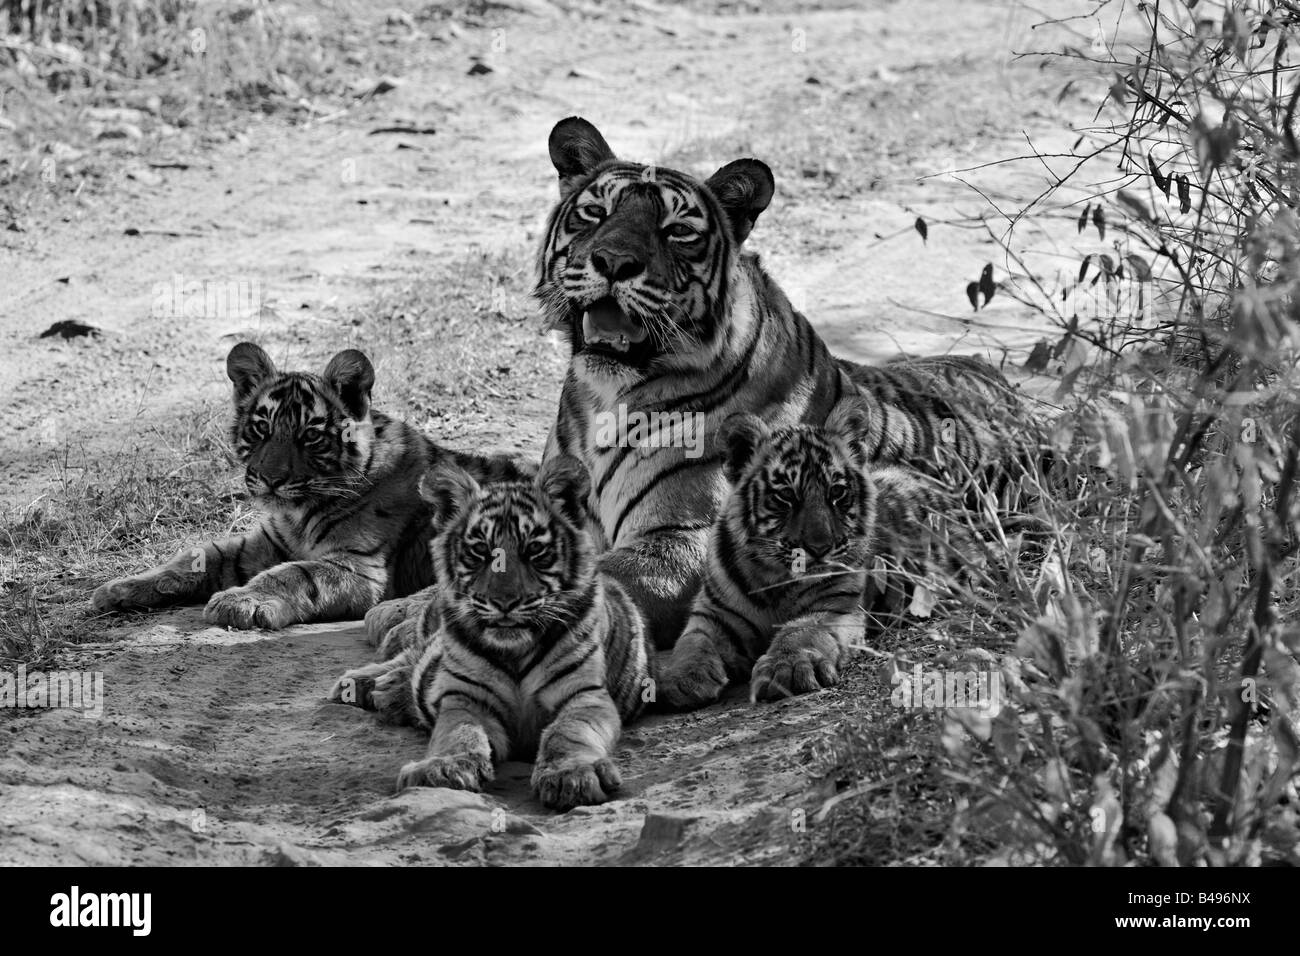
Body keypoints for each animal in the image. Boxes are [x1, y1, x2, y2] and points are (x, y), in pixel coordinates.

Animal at [90, 343, 527, 629]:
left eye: (310, 437)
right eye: (261, 428)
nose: (270, 479)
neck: (298, 512)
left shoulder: (358, 566)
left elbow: (293, 575)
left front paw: (238, 601)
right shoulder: (264, 543)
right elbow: (196, 557)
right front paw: (120, 588)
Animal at [330, 452, 655, 811]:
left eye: (535, 551)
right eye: (479, 551)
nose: (504, 602)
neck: (515, 651)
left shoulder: (584, 694)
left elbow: (569, 732)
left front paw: (572, 775)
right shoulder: (466, 698)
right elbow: (458, 733)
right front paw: (443, 768)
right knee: (412, 653)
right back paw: (365, 684)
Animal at [660, 403, 956, 712]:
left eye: (837, 492)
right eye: (785, 496)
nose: (820, 547)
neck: (774, 577)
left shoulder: (835, 606)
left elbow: (801, 631)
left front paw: (787, 669)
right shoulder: (714, 613)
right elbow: (693, 641)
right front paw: (682, 678)